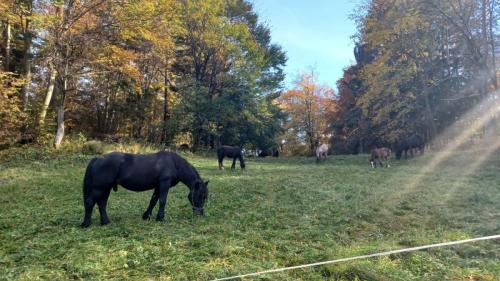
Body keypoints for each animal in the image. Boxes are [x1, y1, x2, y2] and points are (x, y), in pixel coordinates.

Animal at [80, 150, 209, 226]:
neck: (174, 163)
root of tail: (98, 158)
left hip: (106, 188)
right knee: (90, 202)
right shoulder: (164, 184)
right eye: (201, 196)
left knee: (101, 203)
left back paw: (105, 222)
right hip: (99, 188)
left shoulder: (158, 186)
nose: (200, 214)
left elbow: (153, 201)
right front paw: (160, 218)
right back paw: (86, 223)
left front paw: (146, 216)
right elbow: (162, 201)